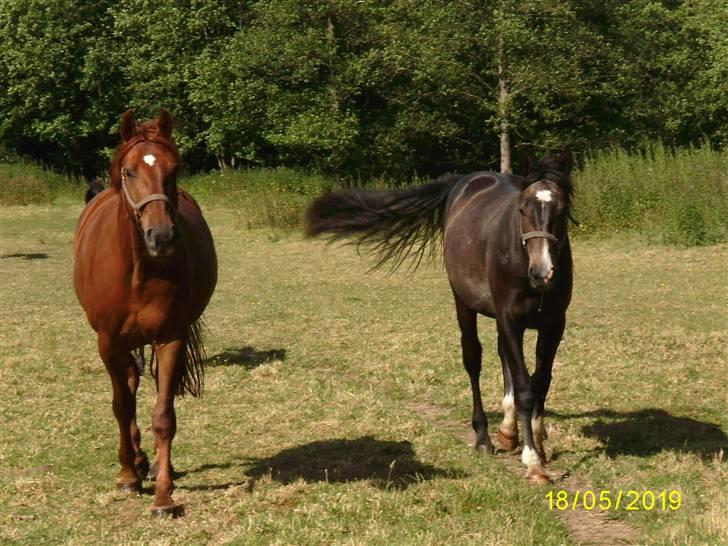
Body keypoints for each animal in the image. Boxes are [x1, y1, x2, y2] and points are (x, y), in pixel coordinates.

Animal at [73, 108, 219, 512]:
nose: (162, 236)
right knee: (130, 385)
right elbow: (122, 405)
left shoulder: (170, 338)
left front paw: (164, 495)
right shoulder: (108, 342)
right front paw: (126, 475)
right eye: (129, 172)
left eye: (174, 169)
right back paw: (136, 462)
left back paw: (149, 464)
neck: (138, 268)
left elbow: (163, 414)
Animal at [308, 152, 576, 480]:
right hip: (464, 303)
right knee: (473, 361)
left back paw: (507, 431)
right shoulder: (510, 319)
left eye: (562, 209)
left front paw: (538, 443)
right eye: (523, 208)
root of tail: (466, 182)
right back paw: (484, 437)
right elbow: (526, 388)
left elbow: (542, 382)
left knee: (504, 358)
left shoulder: (554, 324)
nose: (542, 272)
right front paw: (533, 461)